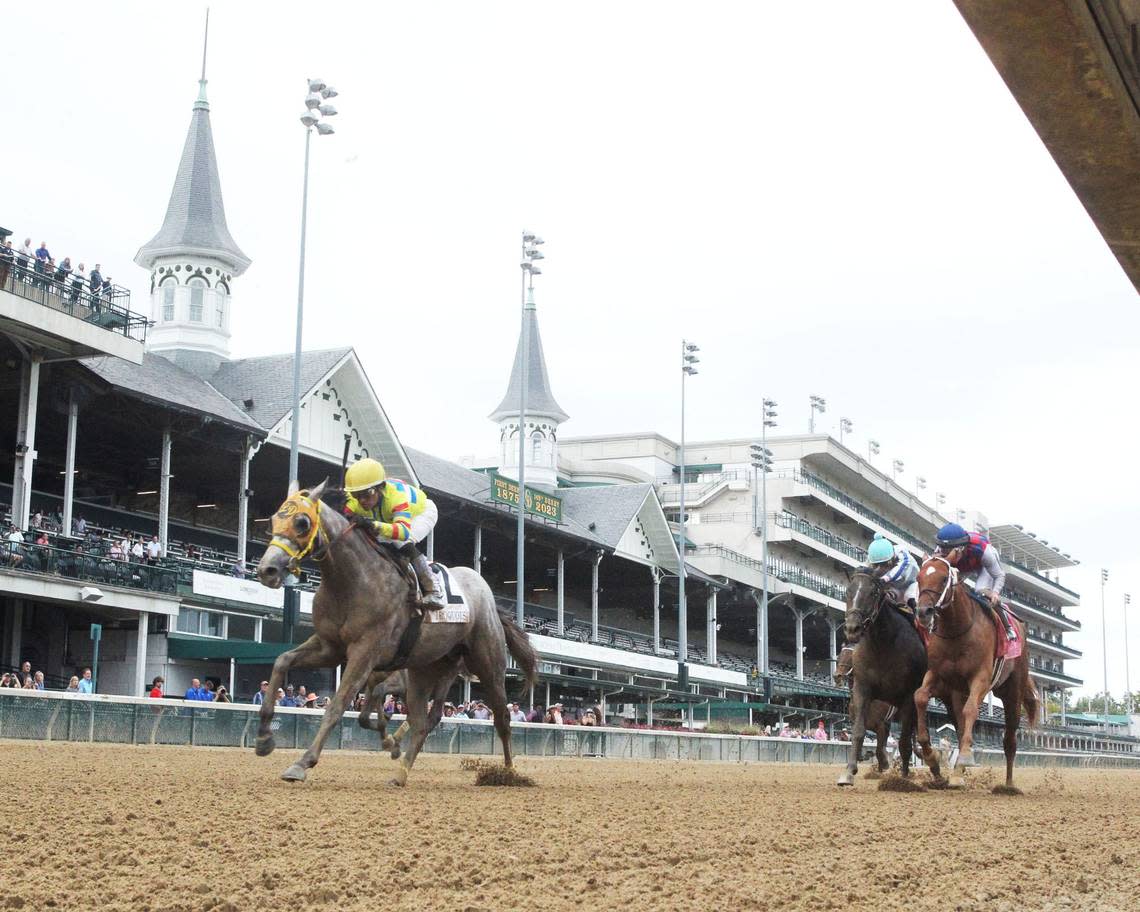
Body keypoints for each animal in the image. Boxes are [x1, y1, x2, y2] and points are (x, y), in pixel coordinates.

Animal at [255, 481, 538, 788]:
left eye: (302, 522)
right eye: (272, 520)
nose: (267, 570)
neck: (352, 581)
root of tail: (487, 597)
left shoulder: (365, 651)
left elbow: (338, 705)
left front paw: (302, 762)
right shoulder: (330, 646)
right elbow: (282, 661)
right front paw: (264, 738)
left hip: (488, 664)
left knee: (501, 717)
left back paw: (508, 773)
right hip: (424, 669)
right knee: (422, 722)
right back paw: (401, 772)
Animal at [839, 570, 925, 784]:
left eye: (873, 593)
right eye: (848, 591)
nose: (852, 628)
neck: (883, 645)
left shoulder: (905, 699)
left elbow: (901, 743)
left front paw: (902, 778)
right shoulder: (863, 690)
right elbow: (859, 733)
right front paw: (849, 771)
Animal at [912, 556, 1039, 788]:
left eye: (943, 578)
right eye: (919, 577)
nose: (923, 612)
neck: (957, 631)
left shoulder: (980, 678)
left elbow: (971, 710)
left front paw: (963, 759)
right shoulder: (937, 674)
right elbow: (920, 697)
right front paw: (931, 756)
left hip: (1012, 691)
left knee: (1009, 739)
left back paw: (1008, 785)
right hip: (958, 693)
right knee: (961, 725)